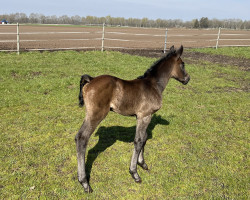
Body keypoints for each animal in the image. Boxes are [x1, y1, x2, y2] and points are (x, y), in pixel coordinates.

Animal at [75, 45, 190, 192]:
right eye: (182, 64)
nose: (187, 79)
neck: (153, 85)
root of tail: (91, 79)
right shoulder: (144, 116)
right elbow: (138, 141)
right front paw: (134, 173)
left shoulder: (143, 117)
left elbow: (144, 138)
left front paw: (142, 163)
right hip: (96, 115)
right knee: (82, 138)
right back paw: (84, 182)